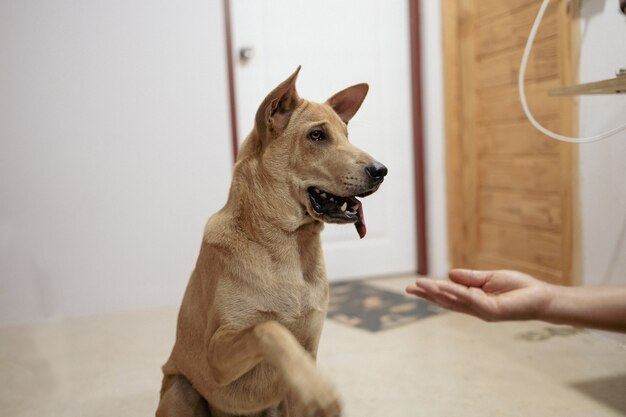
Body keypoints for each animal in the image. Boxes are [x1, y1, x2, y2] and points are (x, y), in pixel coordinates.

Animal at [157, 68, 386, 416]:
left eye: (347, 135)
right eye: (317, 136)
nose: (381, 171)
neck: (288, 246)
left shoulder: (307, 349)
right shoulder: (217, 352)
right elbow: (269, 328)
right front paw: (319, 389)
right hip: (181, 390)